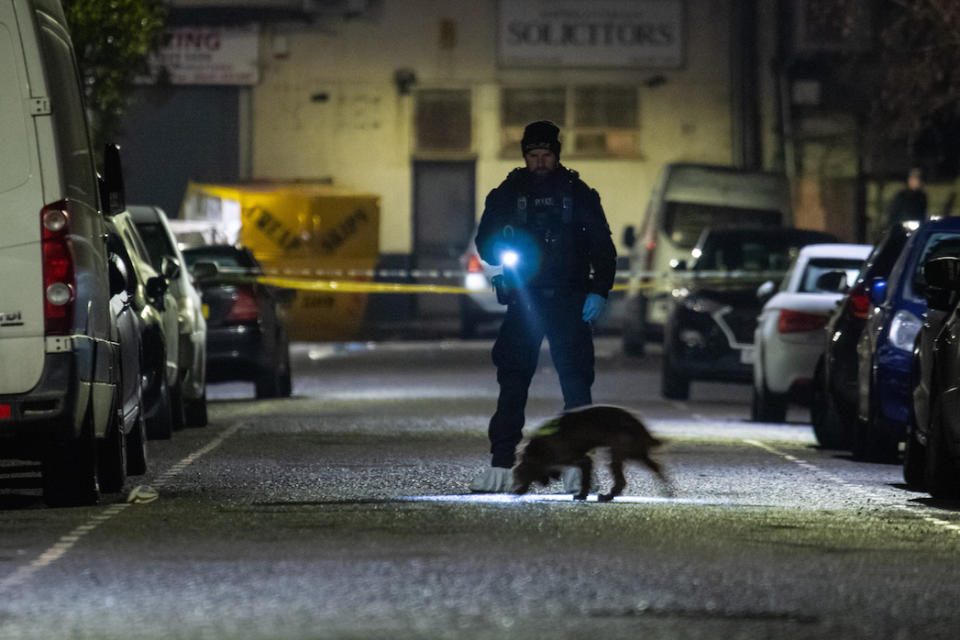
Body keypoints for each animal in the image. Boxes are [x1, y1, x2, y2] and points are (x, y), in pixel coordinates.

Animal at [510, 404, 668, 500]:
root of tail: (641, 427)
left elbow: (585, 479)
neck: (540, 450)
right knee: (656, 467)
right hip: (637, 453)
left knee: (622, 480)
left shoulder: (583, 460)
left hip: (618, 453)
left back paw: (607, 497)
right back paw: (667, 490)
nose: (545, 484)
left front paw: (581, 494)